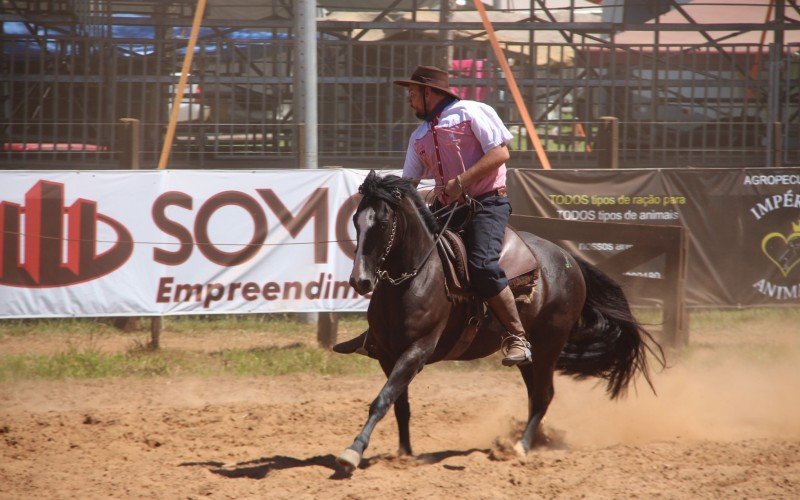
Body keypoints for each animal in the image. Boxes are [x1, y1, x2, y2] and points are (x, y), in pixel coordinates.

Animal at [334, 171, 664, 472]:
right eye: (356, 221)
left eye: (383, 223)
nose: (360, 281)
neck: (416, 277)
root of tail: (569, 259)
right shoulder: (387, 354)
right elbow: (398, 404)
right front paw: (404, 452)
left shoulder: (417, 350)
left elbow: (382, 399)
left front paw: (353, 452)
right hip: (533, 355)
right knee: (535, 394)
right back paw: (532, 439)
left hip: (550, 344)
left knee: (543, 395)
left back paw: (521, 446)